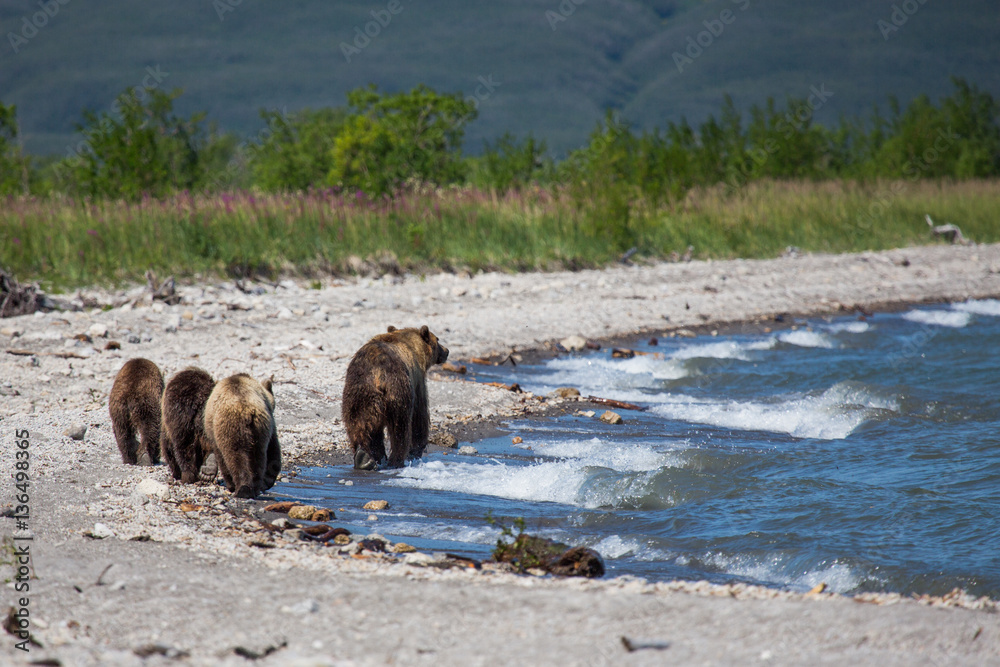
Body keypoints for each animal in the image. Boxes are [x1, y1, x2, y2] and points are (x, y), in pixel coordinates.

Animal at [342, 325, 449, 470]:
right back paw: (395, 461)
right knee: (400, 428)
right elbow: (419, 415)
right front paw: (416, 450)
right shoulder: (417, 380)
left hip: (358, 391)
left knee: (360, 423)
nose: (447, 351)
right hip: (397, 391)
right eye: (437, 339)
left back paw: (365, 457)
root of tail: (378, 373)